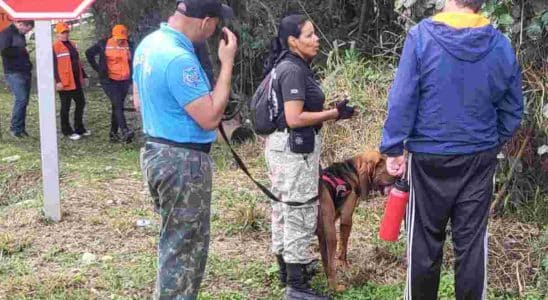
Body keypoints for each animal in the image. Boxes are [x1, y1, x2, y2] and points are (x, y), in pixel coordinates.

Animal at [314, 151, 396, 292]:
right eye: (386, 170)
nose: (399, 177)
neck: (351, 171)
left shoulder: (321, 234)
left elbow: (325, 261)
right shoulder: (346, 219)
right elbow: (343, 250)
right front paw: (345, 267)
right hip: (330, 235)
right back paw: (336, 288)